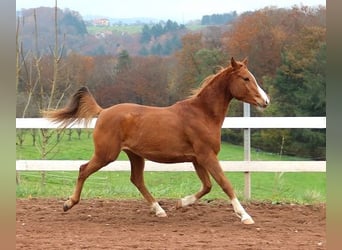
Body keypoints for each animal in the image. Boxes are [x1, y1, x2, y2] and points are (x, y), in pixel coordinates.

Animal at [43, 57, 270, 225]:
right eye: (245, 78)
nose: (265, 101)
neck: (202, 114)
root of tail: (103, 111)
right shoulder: (207, 156)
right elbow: (225, 184)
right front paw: (245, 216)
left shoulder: (198, 159)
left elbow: (207, 186)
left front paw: (180, 203)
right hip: (106, 154)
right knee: (83, 170)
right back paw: (68, 204)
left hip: (135, 155)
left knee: (137, 179)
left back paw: (159, 210)